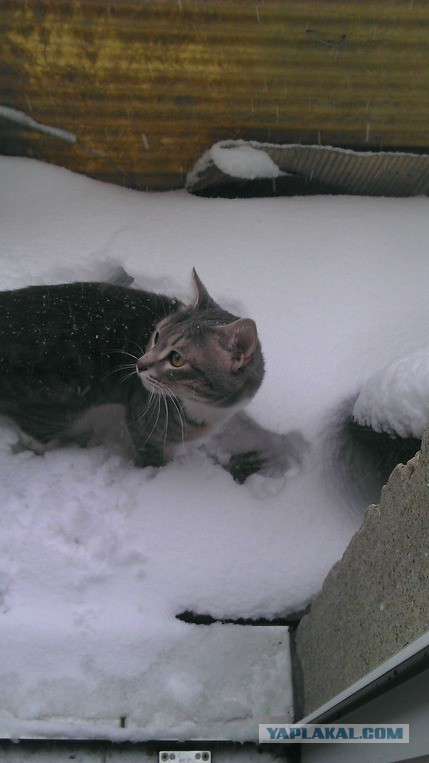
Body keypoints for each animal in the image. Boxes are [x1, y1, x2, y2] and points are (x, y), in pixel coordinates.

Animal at [0, 272, 264, 468]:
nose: (139, 364)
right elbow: (153, 457)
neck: (207, 408)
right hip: (56, 403)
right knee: (36, 437)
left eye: (177, 359)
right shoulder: (144, 424)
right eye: (156, 336)